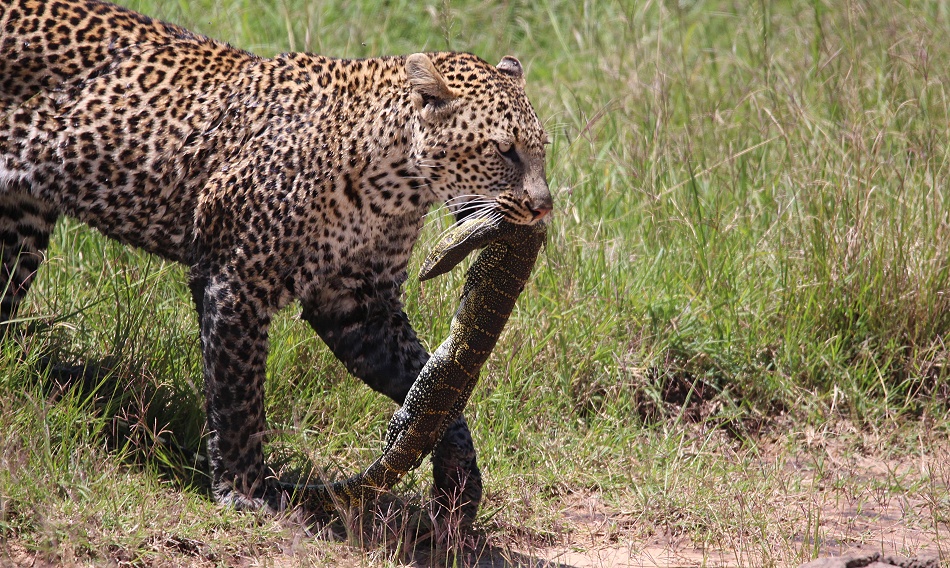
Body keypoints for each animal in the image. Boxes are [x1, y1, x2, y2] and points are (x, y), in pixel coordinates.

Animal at [0, 0, 552, 520]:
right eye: (504, 150)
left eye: (543, 149)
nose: (543, 206)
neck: (395, 185)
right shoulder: (237, 281)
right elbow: (238, 397)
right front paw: (242, 490)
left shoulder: (358, 303)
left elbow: (434, 387)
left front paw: (457, 479)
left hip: (19, 226)